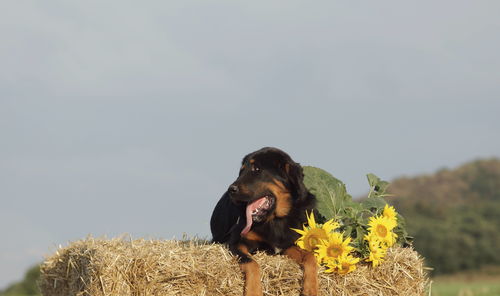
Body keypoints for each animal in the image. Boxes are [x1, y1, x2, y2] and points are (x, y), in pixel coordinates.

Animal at [209, 147, 318, 296]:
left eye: (256, 169)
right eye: (241, 171)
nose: (231, 190)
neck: (275, 220)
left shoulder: (288, 245)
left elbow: (311, 256)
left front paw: (311, 288)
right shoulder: (236, 243)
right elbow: (252, 263)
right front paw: (254, 291)